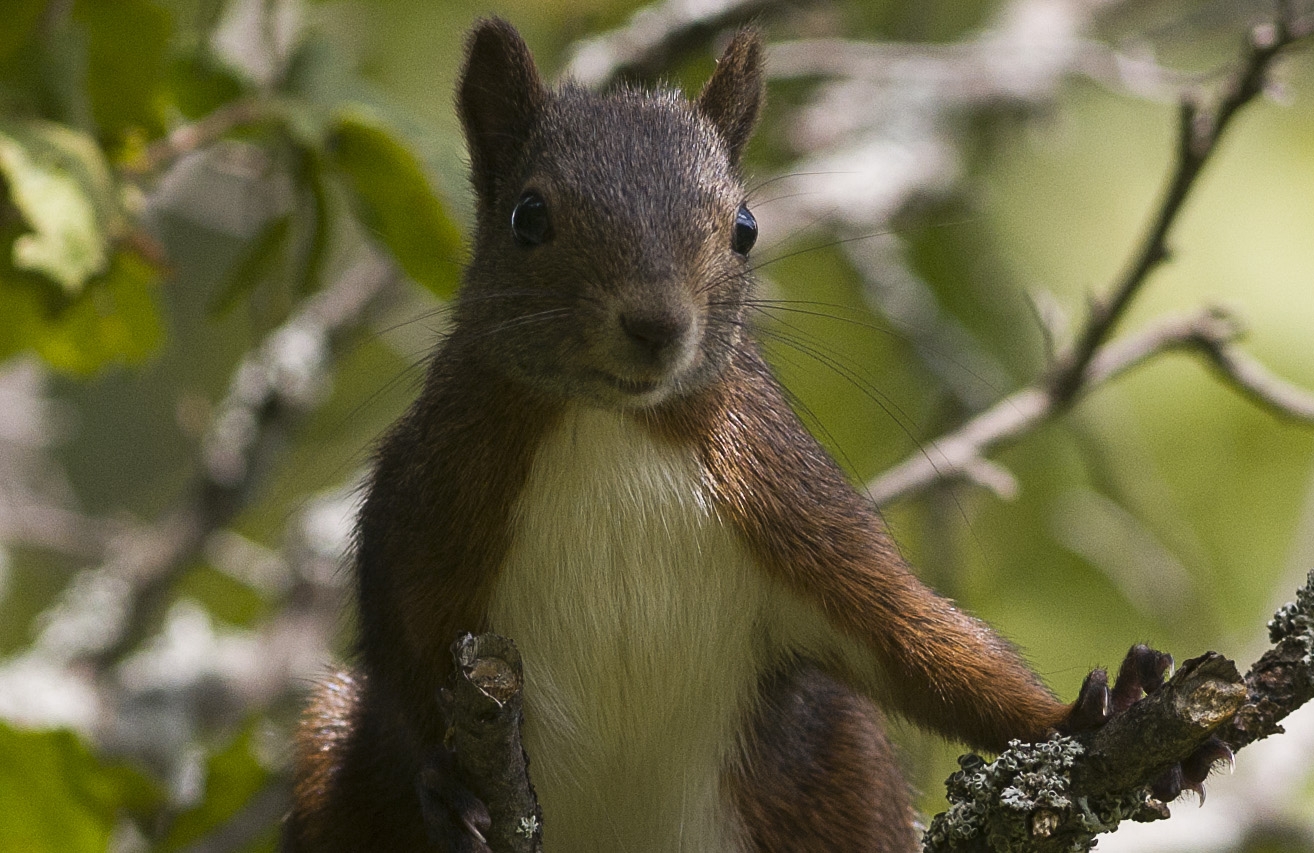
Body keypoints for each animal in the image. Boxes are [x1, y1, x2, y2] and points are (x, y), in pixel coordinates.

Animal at [284, 19, 1225, 853]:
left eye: (745, 227)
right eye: (527, 217)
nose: (657, 324)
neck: (614, 426)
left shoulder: (786, 498)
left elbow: (927, 646)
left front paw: (1100, 710)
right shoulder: (422, 505)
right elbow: (395, 641)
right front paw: (442, 777)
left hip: (833, 767)